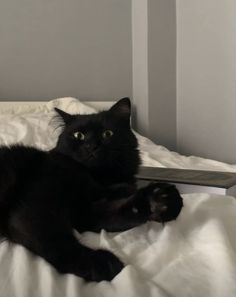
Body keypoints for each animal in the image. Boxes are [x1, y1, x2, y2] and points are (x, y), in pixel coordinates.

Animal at [0, 98, 183, 280]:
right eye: (78, 135)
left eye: (107, 134)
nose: (91, 146)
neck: (98, 178)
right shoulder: (36, 207)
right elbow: (58, 241)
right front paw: (102, 263)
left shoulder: (84, 213)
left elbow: (120, 212)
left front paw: (160, 201)